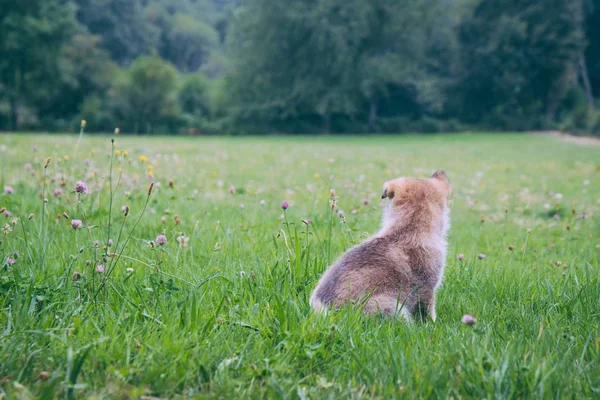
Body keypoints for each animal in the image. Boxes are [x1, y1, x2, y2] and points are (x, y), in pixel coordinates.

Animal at [310, 170, 450, 320]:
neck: (409, 227)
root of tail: (331, 314)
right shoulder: (428, 289)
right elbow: (429, 313)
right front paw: (433, 323)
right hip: (393, 308)